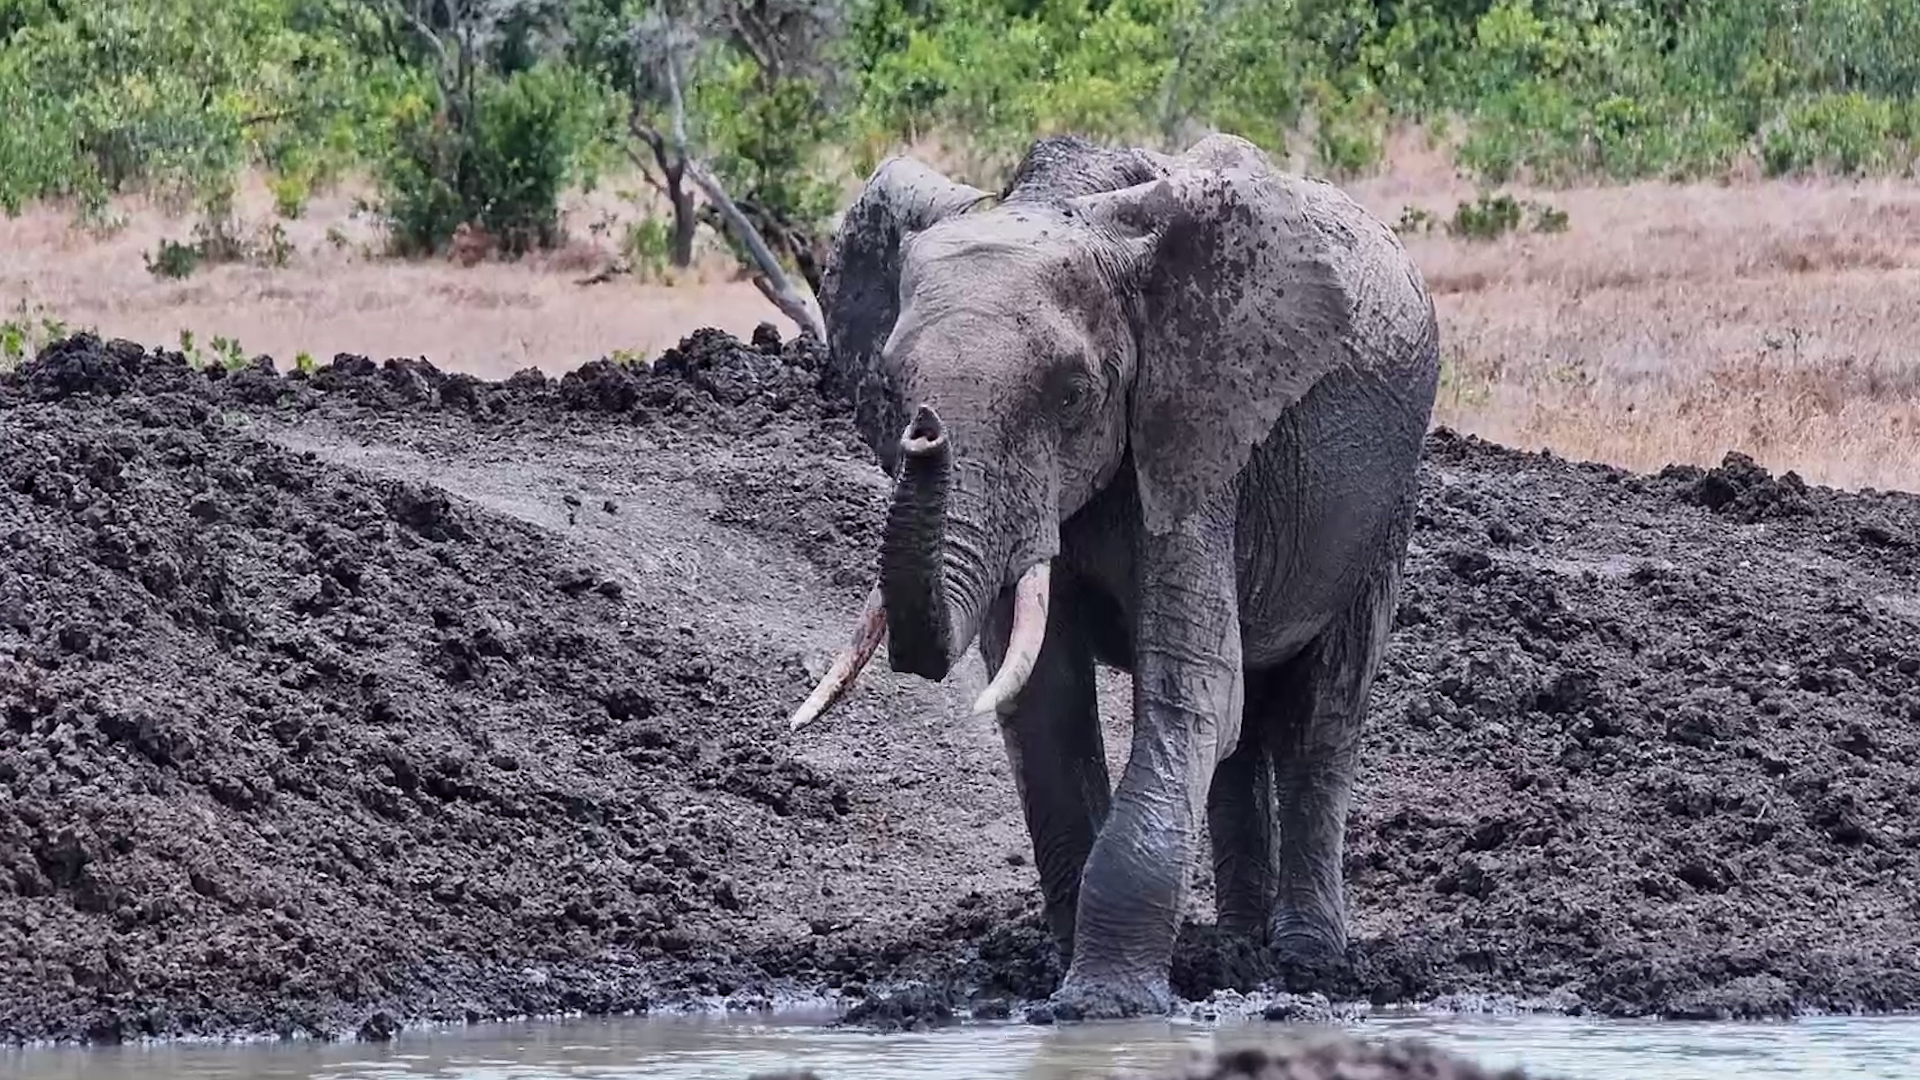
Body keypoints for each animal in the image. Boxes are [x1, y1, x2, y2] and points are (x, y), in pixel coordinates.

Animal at [787, 133, 1441, 1019]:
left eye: (1072, 395)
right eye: (889, 388)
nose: (926, 433)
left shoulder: (1196, 440)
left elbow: (1191, 691)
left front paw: (1101, 1008)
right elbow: (1046, 702)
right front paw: (1067, 981)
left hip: (1385, 498)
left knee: (1321, 713)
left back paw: (1306, 961)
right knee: (1244, 731)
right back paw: (1237, 951)